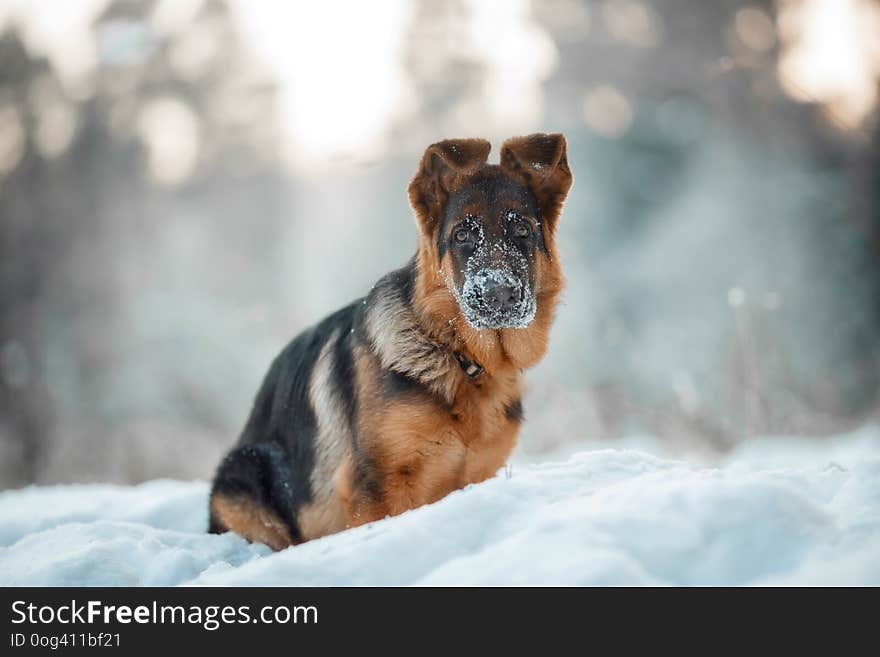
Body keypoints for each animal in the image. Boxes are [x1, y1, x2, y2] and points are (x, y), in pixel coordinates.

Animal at [210, 133, 576, 548]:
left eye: (523, 231)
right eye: (462, 235)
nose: (499, 295)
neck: (457, 358)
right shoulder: (377, 490)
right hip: (244, 468)